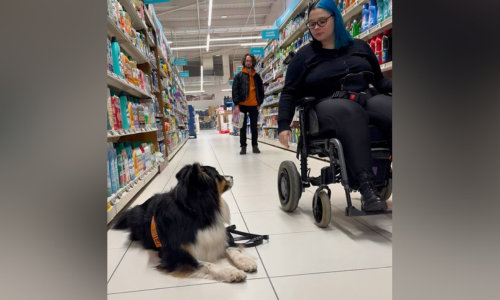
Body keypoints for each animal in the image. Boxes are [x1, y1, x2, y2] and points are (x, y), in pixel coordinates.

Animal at [114, 163, 258, 282]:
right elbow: (206, 264)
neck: (195, 212)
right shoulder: (174, 256)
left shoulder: (221, 234)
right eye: (217, 175)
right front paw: (231, 272)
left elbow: (232, 248)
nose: (232, 176)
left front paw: (246, 262)